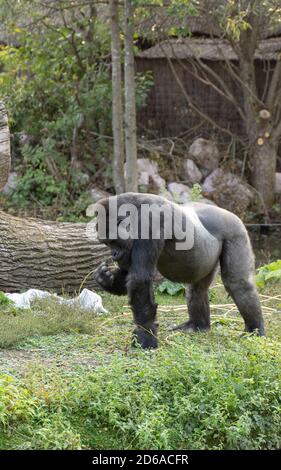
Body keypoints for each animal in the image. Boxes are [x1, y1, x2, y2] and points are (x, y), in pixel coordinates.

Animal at [93, 192, 264, 348]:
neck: (134, 210)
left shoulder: (150, 223)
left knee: (239, 284)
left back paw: (255, 331)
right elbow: (129, 275)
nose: (114, 255)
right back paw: (198, 326)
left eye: (113, 241)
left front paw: (145, 335)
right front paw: (106, 279)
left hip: (235, 230)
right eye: (106, 243)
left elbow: (139, 279)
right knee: (197, 289)